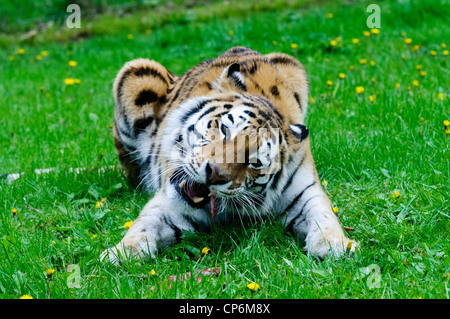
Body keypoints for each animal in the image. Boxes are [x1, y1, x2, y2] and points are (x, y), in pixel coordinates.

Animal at [100, 45, 356, 264]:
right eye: (224, 130)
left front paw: (335, 244)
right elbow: (144, 223)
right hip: (136, 73)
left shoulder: (306, 192)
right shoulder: (167, 204)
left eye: (254, 163)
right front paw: (119, 253)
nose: (213, 174)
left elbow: (324, 215)